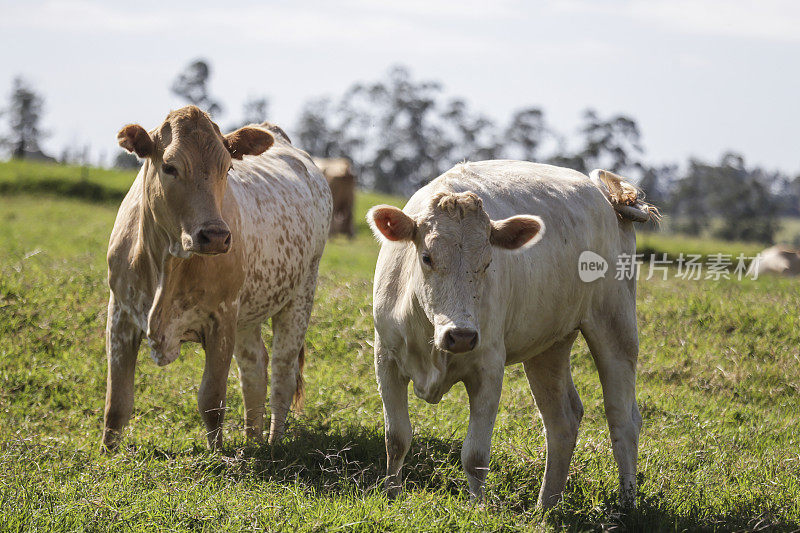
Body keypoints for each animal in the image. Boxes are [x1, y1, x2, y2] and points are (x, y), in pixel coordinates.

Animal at [103, 104, 332, 448]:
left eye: (227, 168)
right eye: (169, 167)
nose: (215, 236)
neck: (168, 262)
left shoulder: (221, 319)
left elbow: (211, 400)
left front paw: (216, 454)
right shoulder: (120, 315)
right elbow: (117, 403)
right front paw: (107, 454)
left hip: (301, 295)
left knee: (283, 372)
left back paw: (273, 443)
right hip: (247, 314)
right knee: (254, 366)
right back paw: (253, 441)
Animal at [368, 161, 656, 508]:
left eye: (487, 262)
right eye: (427, 257)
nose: (460, 335)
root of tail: (605, 197)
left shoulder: (489, 368)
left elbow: (475, 455)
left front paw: (476, 508)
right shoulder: (386, 359)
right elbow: (396, 438)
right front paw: (391, 495)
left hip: (616, 323)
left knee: (623, 418)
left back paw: (627, 504)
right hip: (549, 345)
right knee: (562, 420)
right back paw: (546, 506)